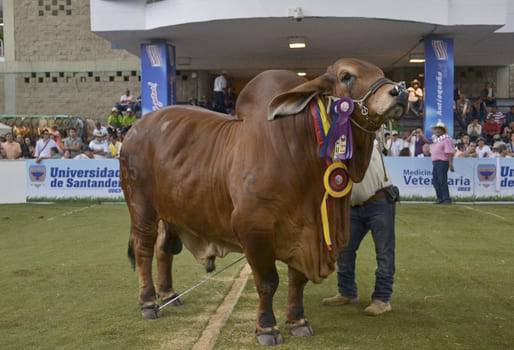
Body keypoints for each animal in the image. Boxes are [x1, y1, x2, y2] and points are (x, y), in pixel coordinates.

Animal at [120, 57, 404, 344]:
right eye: (347, 76)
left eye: (380, 72)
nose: (399, 91)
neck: (300, 146)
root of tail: (135, 129)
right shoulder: (253, 227)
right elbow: (268, 282)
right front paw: (267, 328)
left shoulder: (304, 231)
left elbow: (297, 280)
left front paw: (298, 321)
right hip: (141, 208)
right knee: (144, 249)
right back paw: (148, 303)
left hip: (172, 212)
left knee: (164, 249)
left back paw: (168, 294)